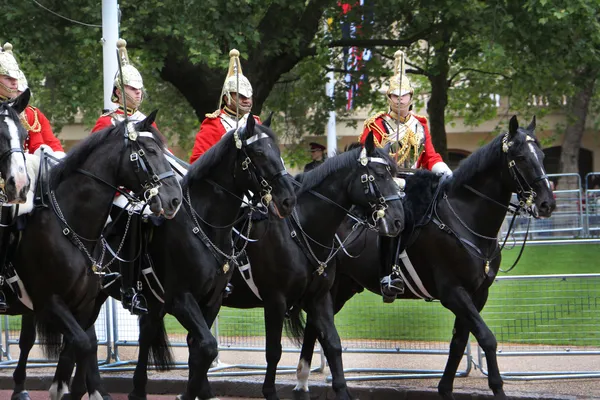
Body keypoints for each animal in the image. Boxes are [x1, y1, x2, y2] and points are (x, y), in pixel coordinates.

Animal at [6, 111, 180, 400]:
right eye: (150, 151)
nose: (174, 199)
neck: (70, 225)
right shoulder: (50, 300)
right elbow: (84, 343)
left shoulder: (85, 302)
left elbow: (82, 343)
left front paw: (72, 388)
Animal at [223, 132, 406, 400]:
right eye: (380, 175)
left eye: (394, 174)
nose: (398, 221)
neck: (302, 227)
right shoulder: (275, 300)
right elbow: (273, 350)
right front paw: (270, 390)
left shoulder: (319, 297)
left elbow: (332, 343)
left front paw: (341, 391)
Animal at [292, 115, 556, 400]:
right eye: (520, 157)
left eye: (542, 155)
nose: (547, 203)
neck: (465, 219)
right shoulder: (453, 292)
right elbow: (486, 338)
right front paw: (497, 388)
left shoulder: (477, 295)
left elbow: (458, 342)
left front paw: (445, 389)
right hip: (330, 287)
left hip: (340, 287)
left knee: (314, 328)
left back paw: (302, 382)